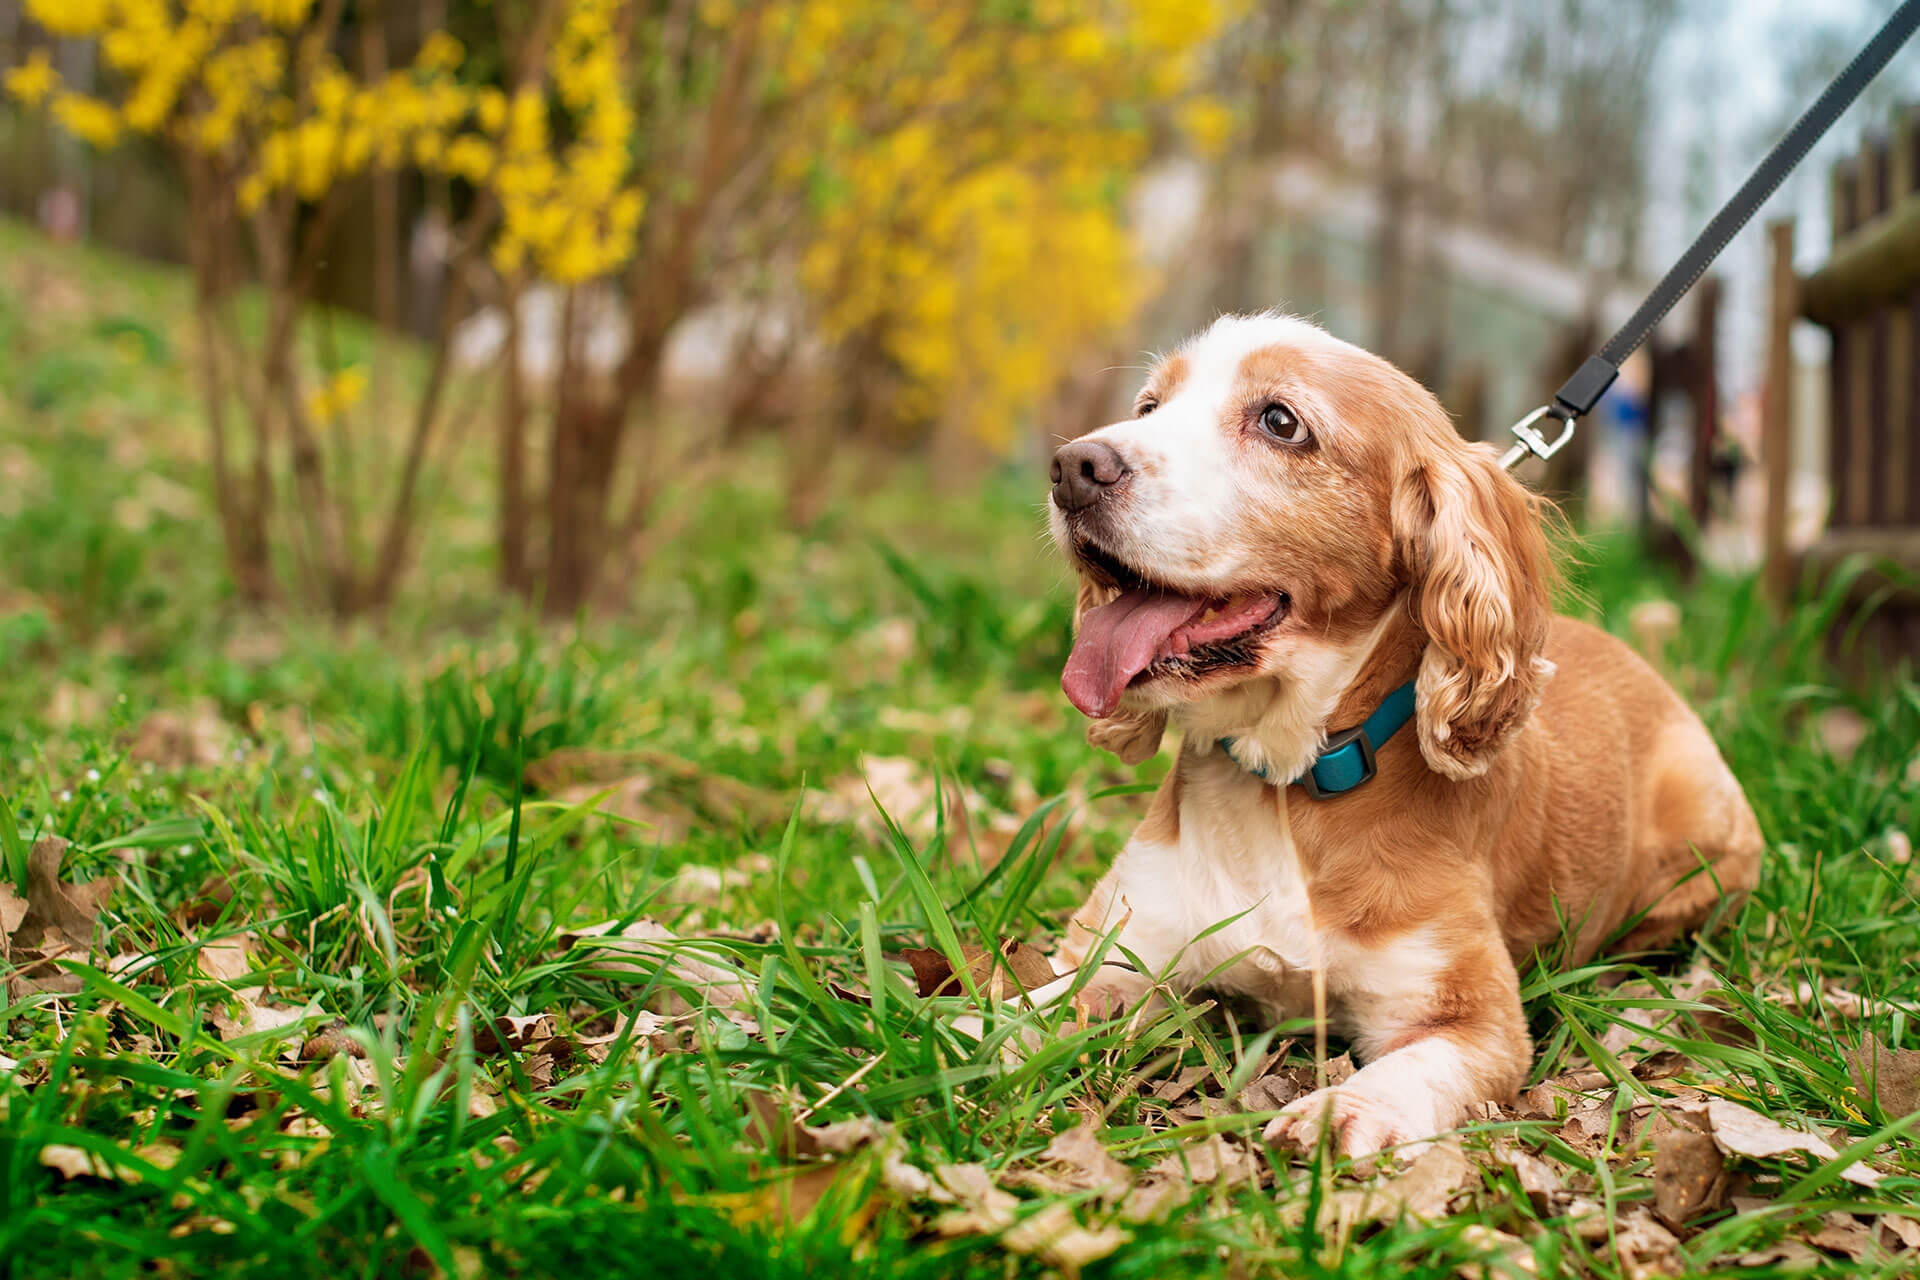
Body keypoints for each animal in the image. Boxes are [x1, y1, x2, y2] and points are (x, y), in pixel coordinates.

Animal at [1044, 312, 1758, 1159]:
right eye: (1150, 406)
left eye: (1280, 421)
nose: (1072, 466)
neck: (1285, 782)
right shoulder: (1115, 950)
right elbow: (1021, 1015)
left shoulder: (1470, 1015)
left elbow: (1412, 1067)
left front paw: (1341, 1113)